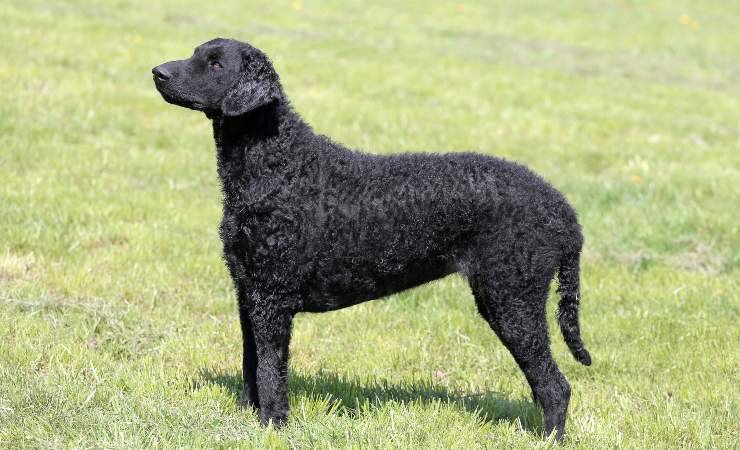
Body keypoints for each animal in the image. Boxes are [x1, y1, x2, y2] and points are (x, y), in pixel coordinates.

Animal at [153, 37, 592, 440]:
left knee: (555, 386)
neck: (281, 165)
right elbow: (251, 365)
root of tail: (562, 208)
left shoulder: (272, 298)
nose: (157, 71)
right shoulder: (248, 292)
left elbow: (271, 371)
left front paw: (273, 426)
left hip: (512, 298)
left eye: (215, 64)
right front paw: (247, 418)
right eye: (195, 54)